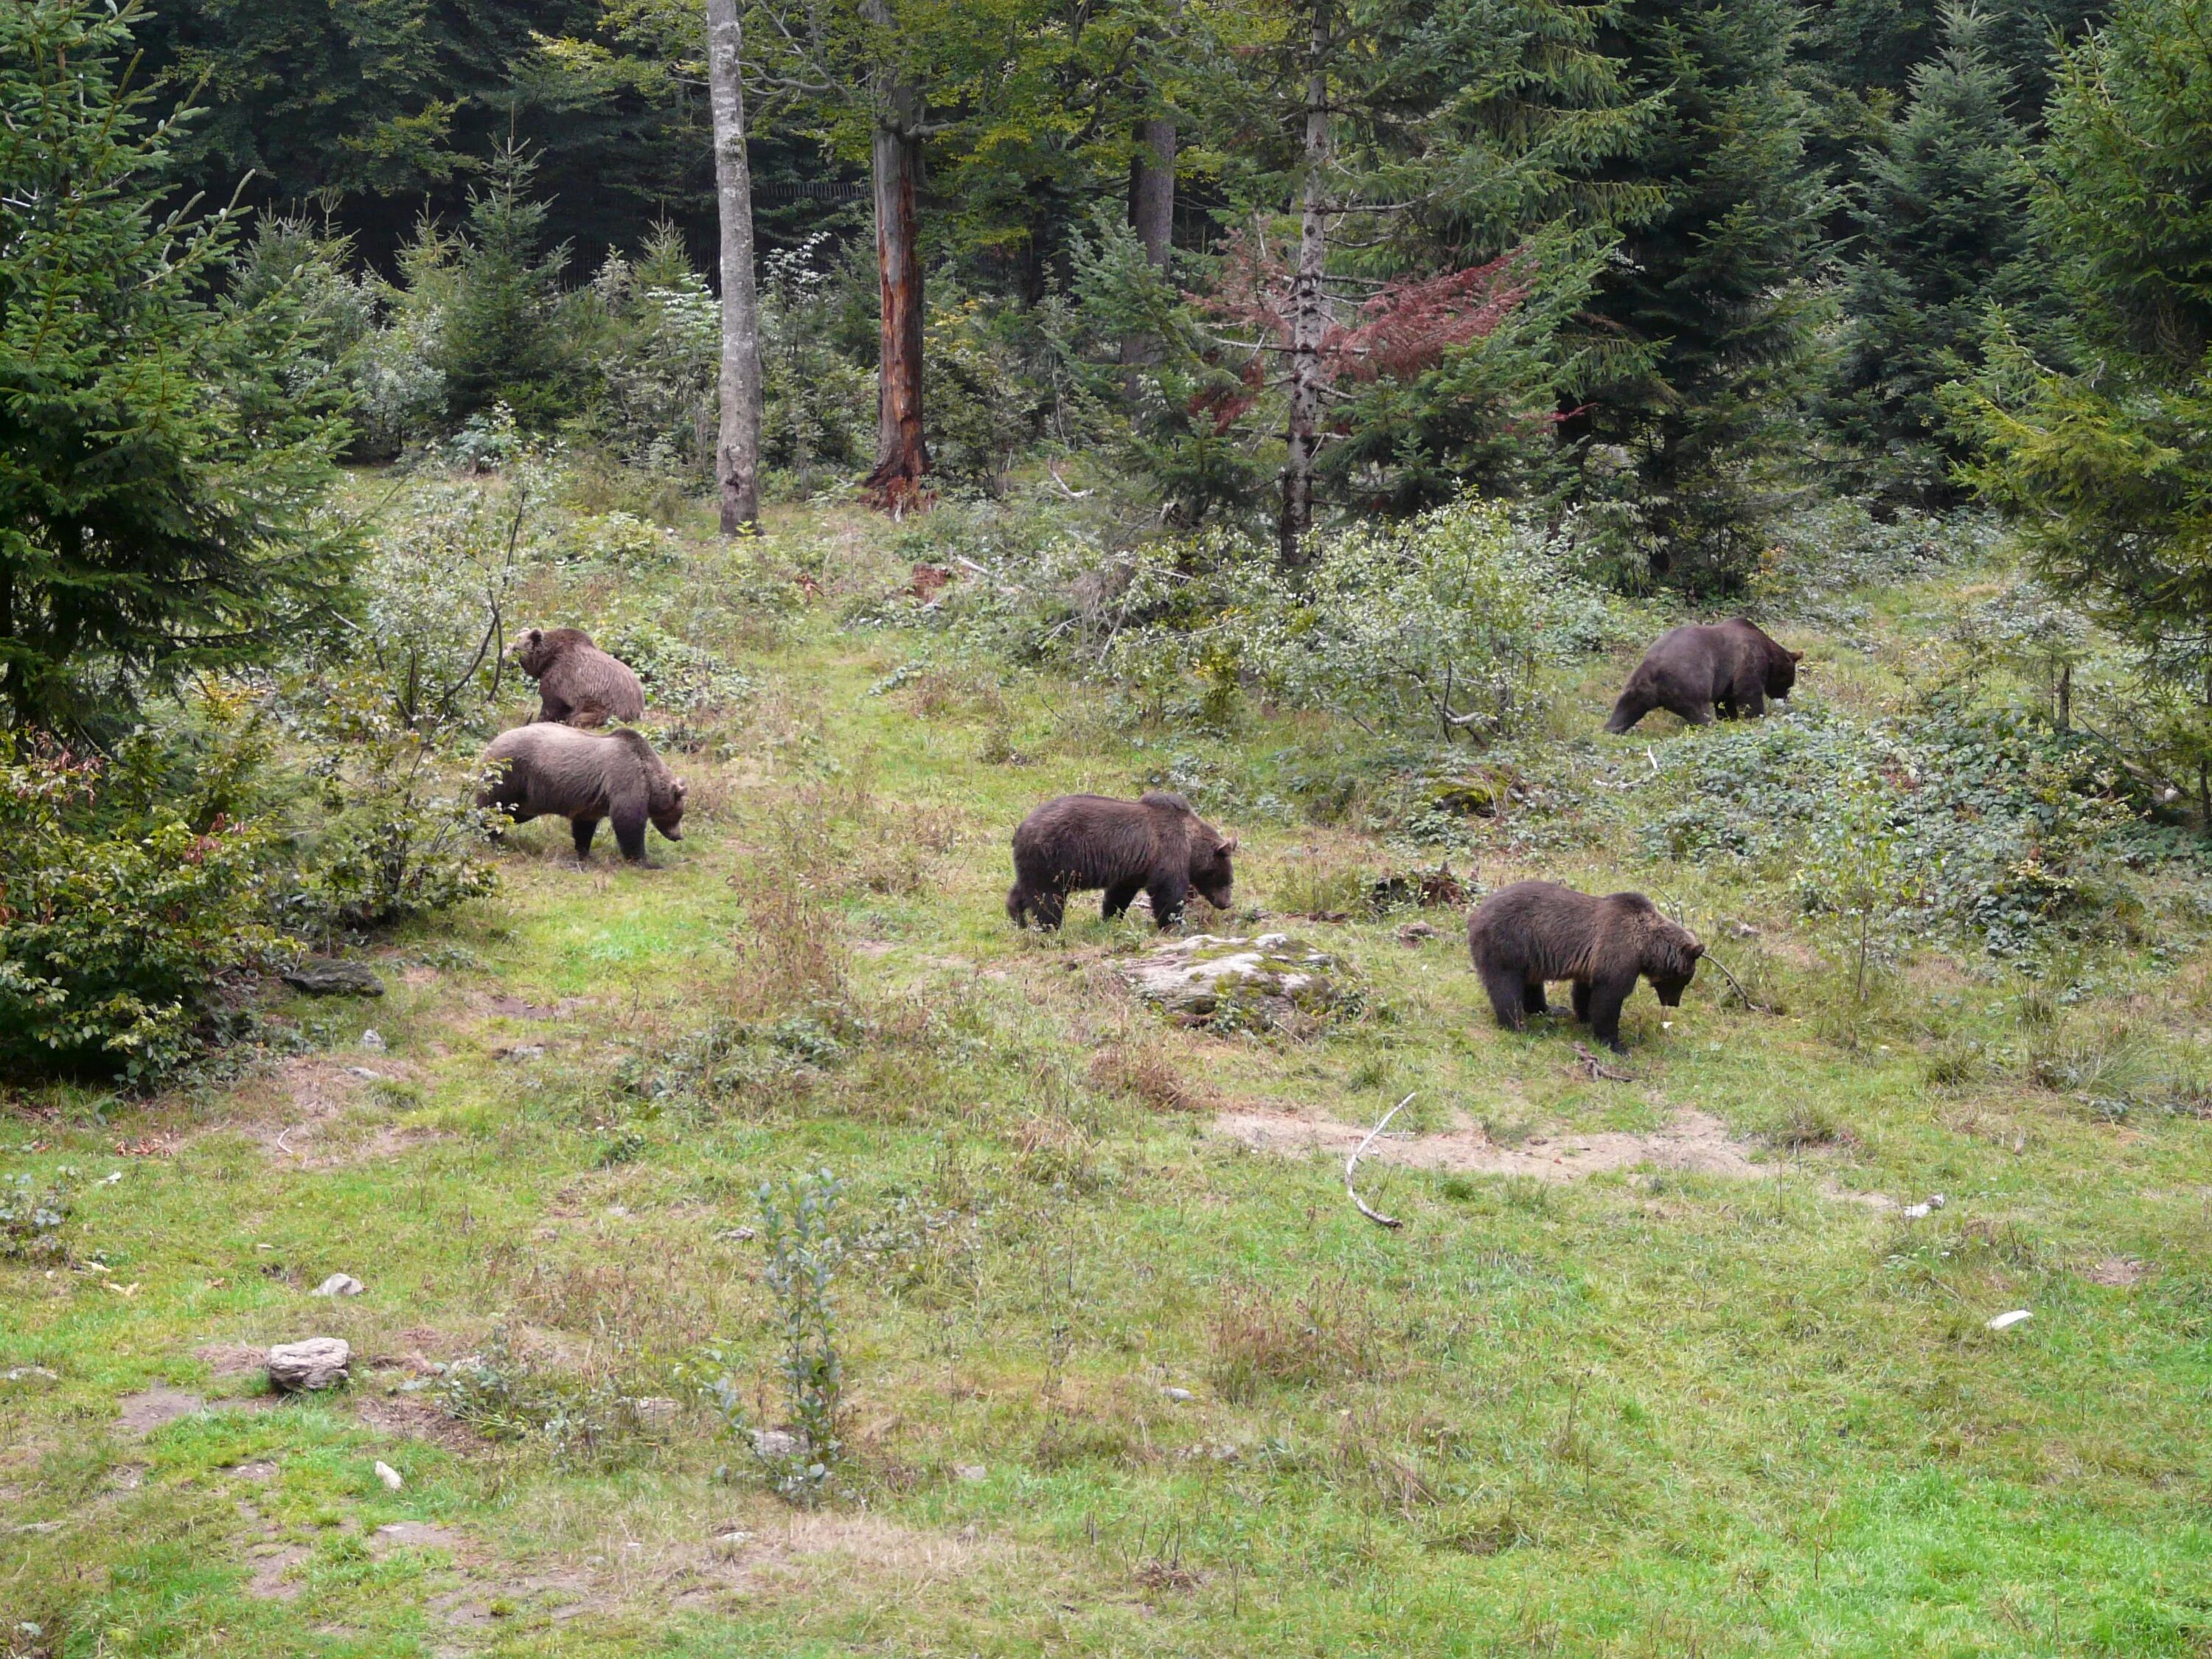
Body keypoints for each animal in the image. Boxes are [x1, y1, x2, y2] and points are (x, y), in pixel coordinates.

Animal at [480, 726, 686, 863]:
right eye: (679, 814)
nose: (679, 836)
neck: (649, 778)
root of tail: (490, 744)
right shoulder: (625, 778)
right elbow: (628, 821)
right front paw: (643, 860)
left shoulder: (592, 801)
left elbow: (584, 826)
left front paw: (585, 853)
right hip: (510, 774)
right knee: (493, 807)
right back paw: (490, 837)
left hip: (527, 799)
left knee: (511, 814)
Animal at [1009, 796, 1239, 938]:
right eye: (1226, 879)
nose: (1226, 903)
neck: (1191, 847)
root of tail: (1020, 829)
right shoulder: (1167, 854)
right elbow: (1168, 894)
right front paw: (1175, 925)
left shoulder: (1134, 870)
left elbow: (1118, 895)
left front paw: (1109, 918)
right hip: (1054, 858)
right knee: (1048, 898)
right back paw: (1051, 927)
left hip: (1038, 864)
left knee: (1024, 890)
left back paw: (1018, 919)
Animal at [1469, 885, 1708, 1053]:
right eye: (1684, 979)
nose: (1674, 1003)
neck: (1646, 947)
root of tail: (1476, 915)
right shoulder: (1618, 954)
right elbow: (1609, 1000)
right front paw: (1616, 1044)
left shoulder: (1592, 963)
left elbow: (1586, 992)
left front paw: (1584, 1016)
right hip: (1509, 944)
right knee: (1506, 988)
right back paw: (1518, 1025)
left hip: (1531, 955)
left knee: (1531, 984)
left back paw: (1549, 1008)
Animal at [1601, 619, 1805, 734]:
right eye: (1790, 682)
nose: (1785, 697)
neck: (1769, 653)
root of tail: (1653, 669)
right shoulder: (1748, 658)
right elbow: (1748, 692)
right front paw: (1756, 717)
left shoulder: (1725, 679)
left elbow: (1726, 701)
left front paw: (1730, 718)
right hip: (1690, 681)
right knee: (1699, 711)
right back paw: (1710, 727)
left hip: (1637, 685)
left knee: (1626, 707)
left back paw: (1612, 729)